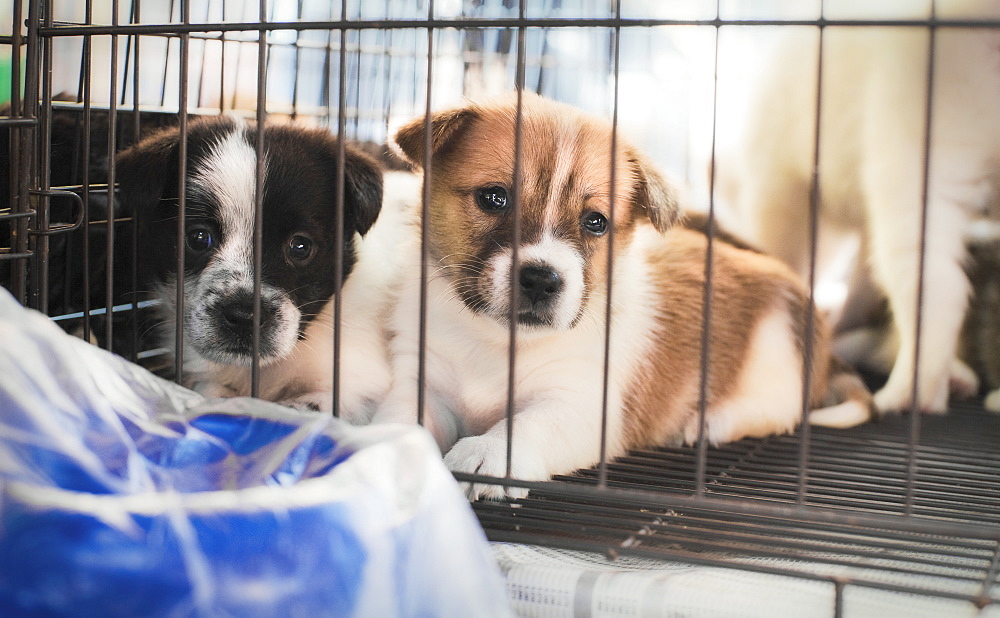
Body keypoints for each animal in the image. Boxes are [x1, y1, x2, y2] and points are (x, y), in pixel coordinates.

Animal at [119, 115, 412, 414]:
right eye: (199, 238)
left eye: (300, 246)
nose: (244, 317)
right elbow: (209, 391)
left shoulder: (357, 386)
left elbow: (299, 409)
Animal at [372, 94, 872, 498]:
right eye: (494, 198)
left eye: (596, 222)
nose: (542, 280)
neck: (494, 342)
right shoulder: (422, 381)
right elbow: (400, 419)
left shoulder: (582, 403)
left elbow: (527, 424)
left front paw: (489, 453)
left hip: (774, 351)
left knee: (783, 408)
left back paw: (711, 420)